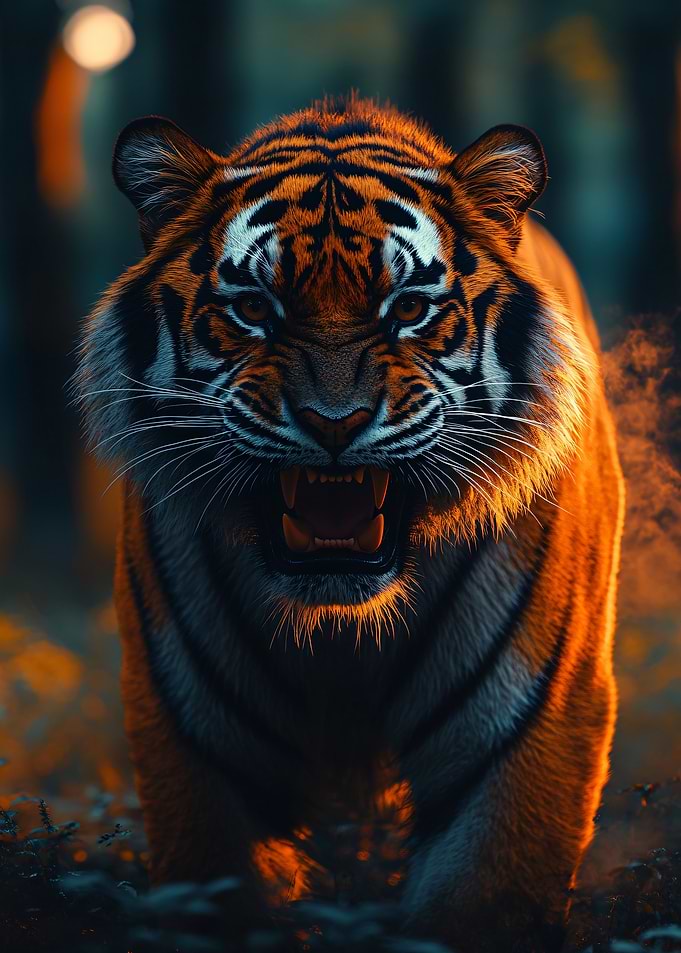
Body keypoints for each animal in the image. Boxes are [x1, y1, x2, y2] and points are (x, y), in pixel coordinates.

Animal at [77, 97, 624, 952]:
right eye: (254, 309)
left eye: (408, 310)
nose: (333, 422)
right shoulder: (196, 734)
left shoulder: (520, 726)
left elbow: (479, 900)